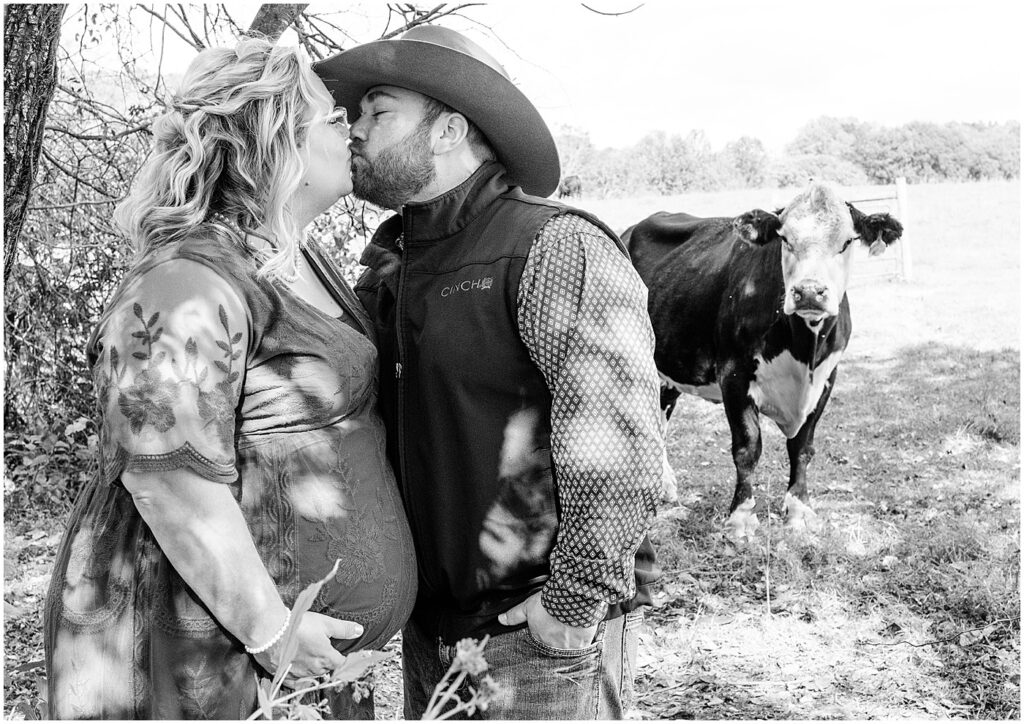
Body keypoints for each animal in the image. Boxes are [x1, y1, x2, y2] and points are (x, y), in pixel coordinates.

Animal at [622, 184, 905, 540]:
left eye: (846, 242)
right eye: (785, 239)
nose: (809, 292)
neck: (803, 351)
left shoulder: (827, 379)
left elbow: (802, 448)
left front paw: (799, 510)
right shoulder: (734, 373)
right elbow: (747, 448)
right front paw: (741, 518)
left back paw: (665, 486)